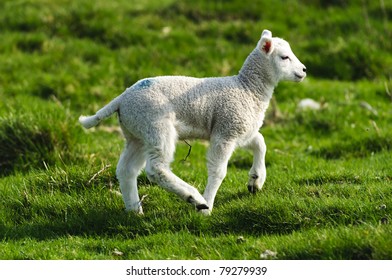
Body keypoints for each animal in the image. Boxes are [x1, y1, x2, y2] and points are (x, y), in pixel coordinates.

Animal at [79, 29, 306, 214]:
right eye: (284, 57)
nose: (304, 70)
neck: (248, 89)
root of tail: (122, 97)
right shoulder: (226, 131)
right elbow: (218, 171)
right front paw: (208, 206)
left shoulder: (239, 128)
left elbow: (260, 142)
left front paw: (256, 181)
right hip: (156, 126)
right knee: (156, 169)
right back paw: (195, 199)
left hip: (137, 133)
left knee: (127, 170)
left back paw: (135, 210)